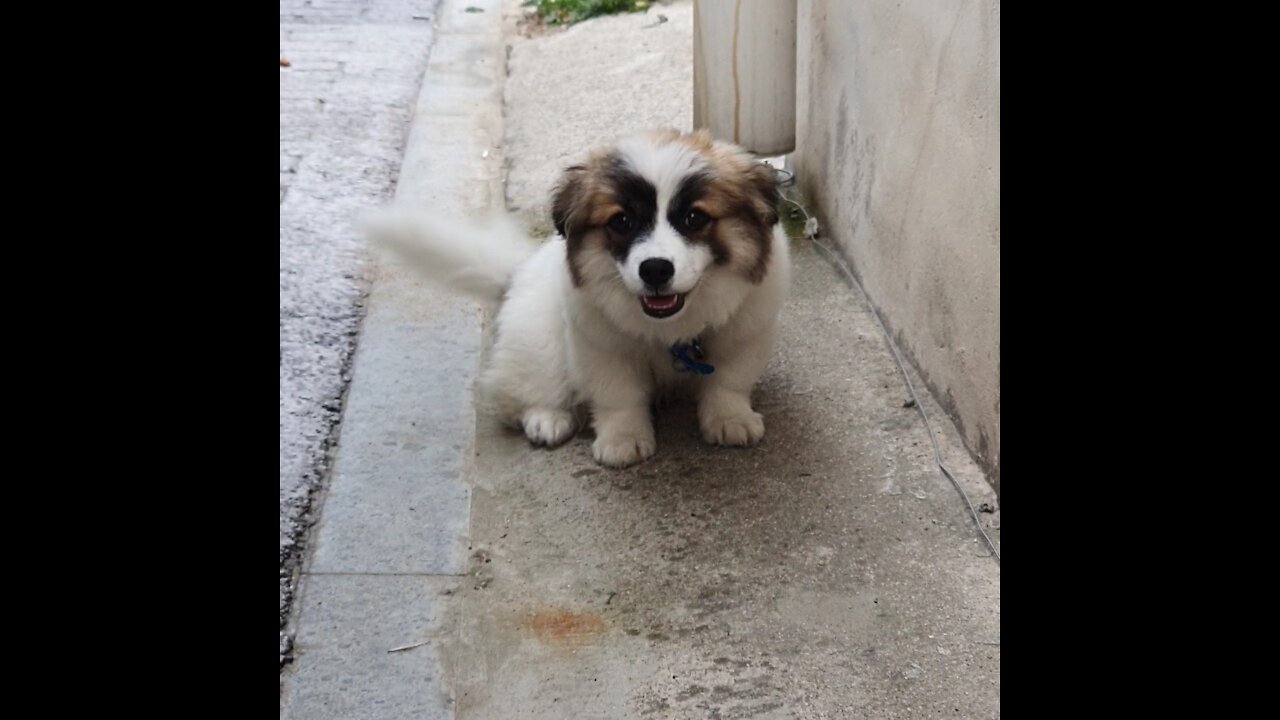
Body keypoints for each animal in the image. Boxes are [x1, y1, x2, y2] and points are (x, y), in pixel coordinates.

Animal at [371, 127, 783, 466]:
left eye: (695, 218)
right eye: (621, 221)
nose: (655, 269)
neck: (672, 325)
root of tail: (518, 273)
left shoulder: (745, 333)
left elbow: (728, 381)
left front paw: (730, 418)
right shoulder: (600, 345)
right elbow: (618, 395)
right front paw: (623, 440)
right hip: (539, 341)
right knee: (523, 390)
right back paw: (547, 418)